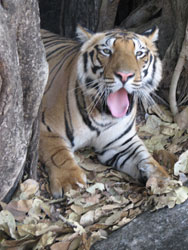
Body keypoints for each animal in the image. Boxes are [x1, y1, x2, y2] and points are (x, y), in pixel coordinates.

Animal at [39, 24, 167, 197]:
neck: (103, 115)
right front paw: (70, 182)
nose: (125, 75)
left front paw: (160, 178)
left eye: (139, 53)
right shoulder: (45, 127)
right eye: (106, 51)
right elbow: (58, 153)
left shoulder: (121, 143)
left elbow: (144, 156)